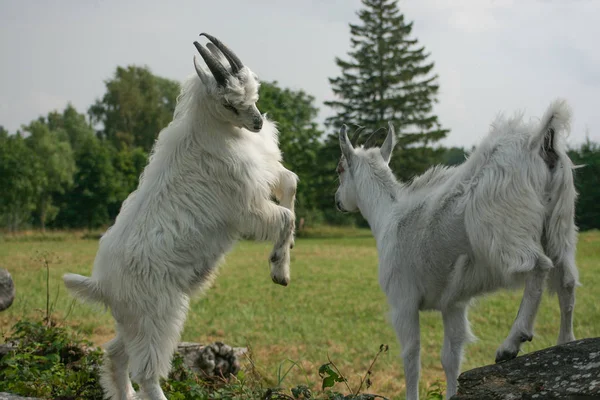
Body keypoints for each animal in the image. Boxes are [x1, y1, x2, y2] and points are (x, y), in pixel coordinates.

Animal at [63, 34, 298, 400]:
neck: (214, 130)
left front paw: (291, 249)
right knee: (147, 371)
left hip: (134, 323)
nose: (258, 123)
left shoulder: (264, 173)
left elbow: (291, 182)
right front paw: (279, 269)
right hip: (159, 316)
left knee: (115, 354)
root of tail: (102, 285)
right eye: (229, 103)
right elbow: (284, 218)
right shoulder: (247, 207)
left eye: (253, 91)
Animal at [336, 99, 580, 400]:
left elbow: (411, 357)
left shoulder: (403, 299)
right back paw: (565, 342)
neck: (388, 215)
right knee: (566, 280)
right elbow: (450, 357)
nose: (338, 201)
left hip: (504, 226)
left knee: (537, 266)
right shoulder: (453, 303)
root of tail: (538, 141)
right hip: (561, 223)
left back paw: (510, 344)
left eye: (340, 169)